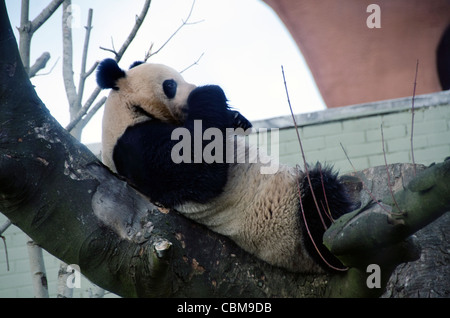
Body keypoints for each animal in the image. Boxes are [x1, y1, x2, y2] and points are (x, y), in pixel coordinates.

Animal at [96, 57, 354, 274]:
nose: (191, 89)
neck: (128, 111)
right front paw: (208, 91)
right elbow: (197, 169)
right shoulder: (135, 146)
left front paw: (236, 117)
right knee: (319, 194)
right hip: (292, 224)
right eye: (170, 84)